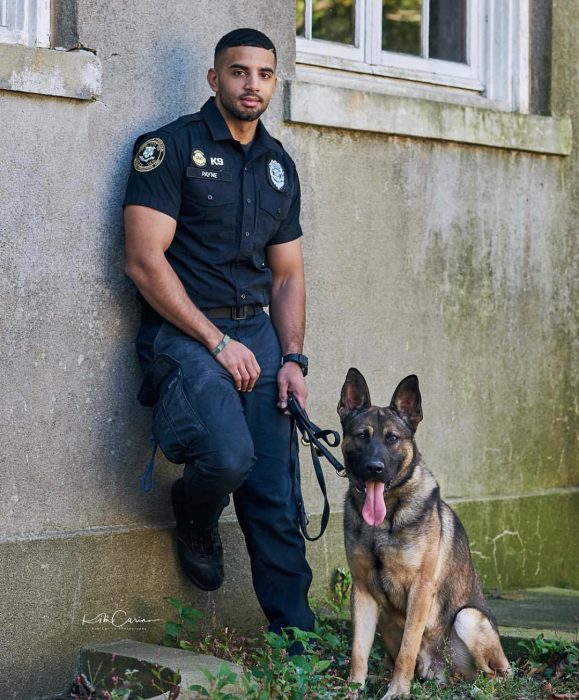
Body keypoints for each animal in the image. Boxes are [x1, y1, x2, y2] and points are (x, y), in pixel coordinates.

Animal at [338, 370, 510, 696]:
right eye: (362, 436)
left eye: (392, 438)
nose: (374, 468)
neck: (387, 516)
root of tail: (443, 671)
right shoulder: (362, 591)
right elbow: (358, 651)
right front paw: (353, 688)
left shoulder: (420, 588)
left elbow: (407, 650)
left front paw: (397, 692)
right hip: (387, 621)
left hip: (469, 618)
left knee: (493, 676)